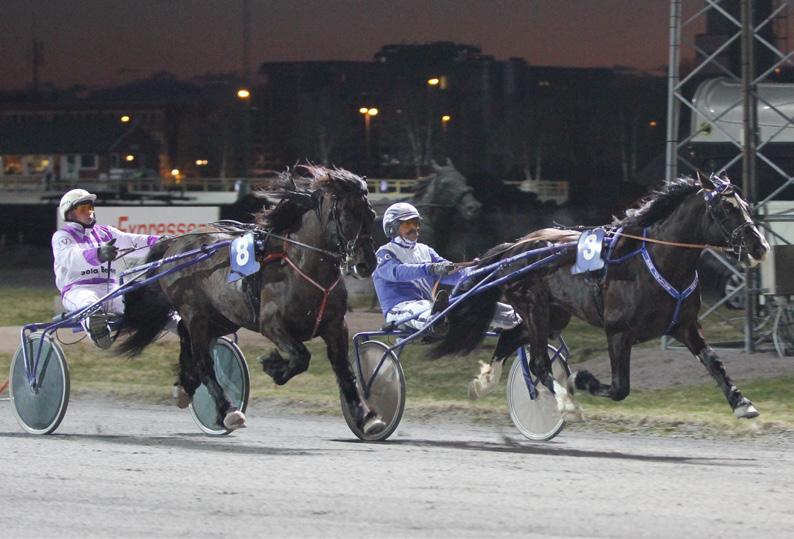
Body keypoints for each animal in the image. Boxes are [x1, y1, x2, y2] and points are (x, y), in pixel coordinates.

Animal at [118, 167, 386, 436]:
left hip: (222, 318)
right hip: (196, 314)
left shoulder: (335, 325)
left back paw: (186, 385)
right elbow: (301, 356)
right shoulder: (271, 324)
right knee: (203, 360)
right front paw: (273, 366)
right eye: (347, 215)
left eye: (371, 214)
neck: (302, 267)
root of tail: (175, 244)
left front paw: (365, 416)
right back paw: (228, 410)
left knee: (186, 335)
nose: (366, 262)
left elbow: (344, 370)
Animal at [434, 175, 768, 420]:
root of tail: (515, 247)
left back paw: (485, 382)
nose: (760, 246)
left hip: (554, 314)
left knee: (509, 338)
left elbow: (714, 362)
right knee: (539, 363)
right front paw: (580, 380)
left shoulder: (684, 325)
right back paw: (565, 401)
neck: (659, 262)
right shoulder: (618, 331)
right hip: (535, 309)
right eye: (725, 210)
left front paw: (742, 403)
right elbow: (620, 388)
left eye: (746, 205)